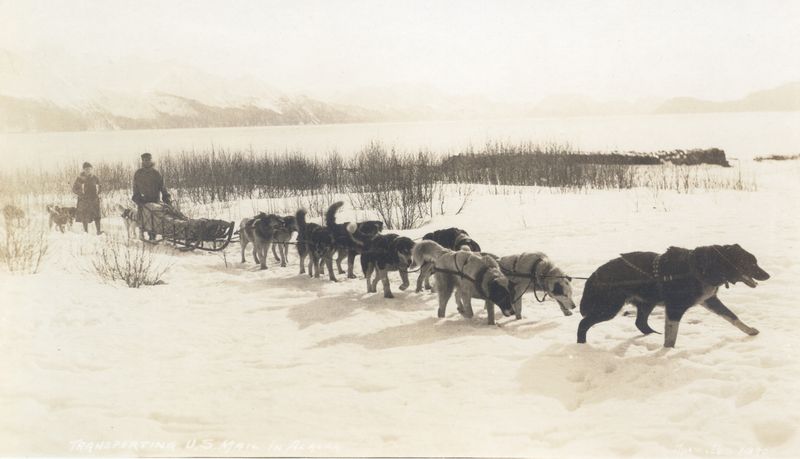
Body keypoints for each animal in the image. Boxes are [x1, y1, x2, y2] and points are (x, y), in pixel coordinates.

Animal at [580, 244, 768, 348]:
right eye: (751, 263)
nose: (768, 275)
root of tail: (594, 275)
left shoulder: (709, 300)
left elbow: (732, 316)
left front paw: (749, 330)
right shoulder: (674, 309)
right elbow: (671, 338)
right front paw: (666, 353)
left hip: (647, 303)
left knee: (640, 323)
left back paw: (652, 335)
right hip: (609, 308)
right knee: (583, 324)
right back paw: (582, 345)